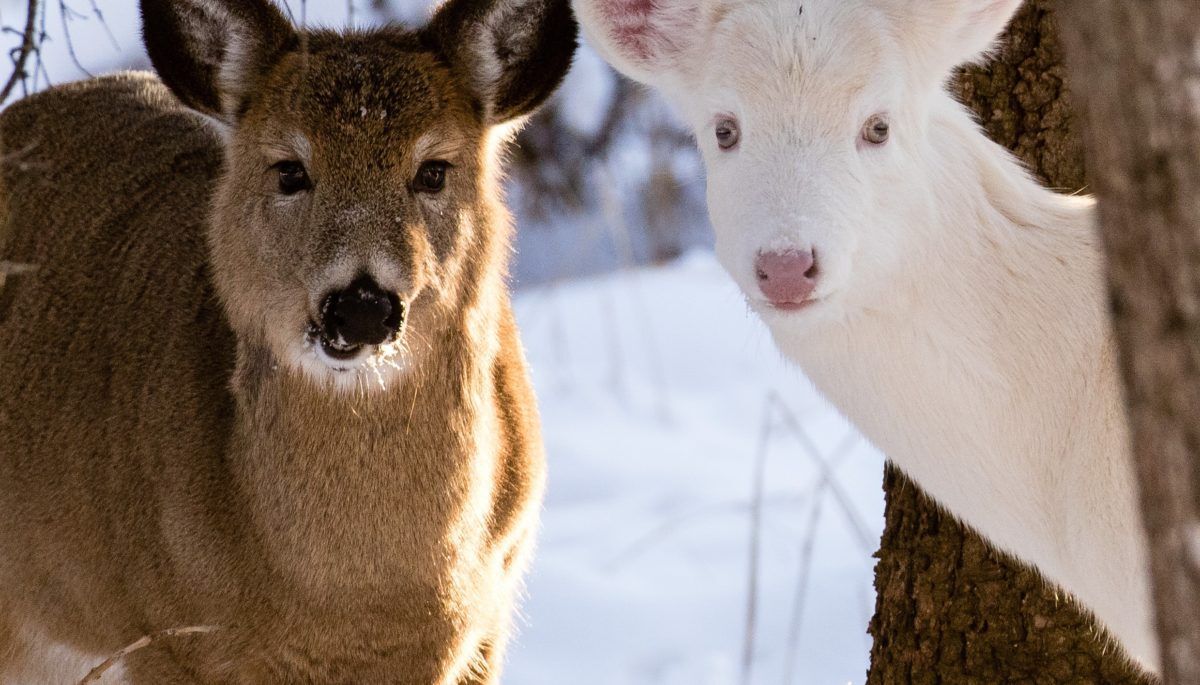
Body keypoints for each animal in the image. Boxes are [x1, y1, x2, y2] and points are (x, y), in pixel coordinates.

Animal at [0, 0, 575, 681]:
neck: (361, 604)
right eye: (291, 170)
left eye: (433, 170)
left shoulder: (487, 628)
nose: (361, 306)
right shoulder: (166, 639)